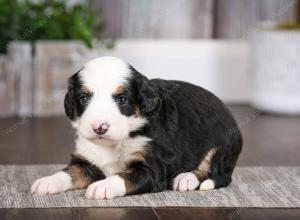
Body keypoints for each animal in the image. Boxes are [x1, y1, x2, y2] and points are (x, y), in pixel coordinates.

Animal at [31, 56, 241, 199]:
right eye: (83, 98)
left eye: (122, 99)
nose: (99, 127)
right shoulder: (86, 161)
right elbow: (68, 172)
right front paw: (47, 181)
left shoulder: (151, 168)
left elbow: (124, 177)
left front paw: (102, 186)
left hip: (221, 146)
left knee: (217, 173)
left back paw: (186, 178)